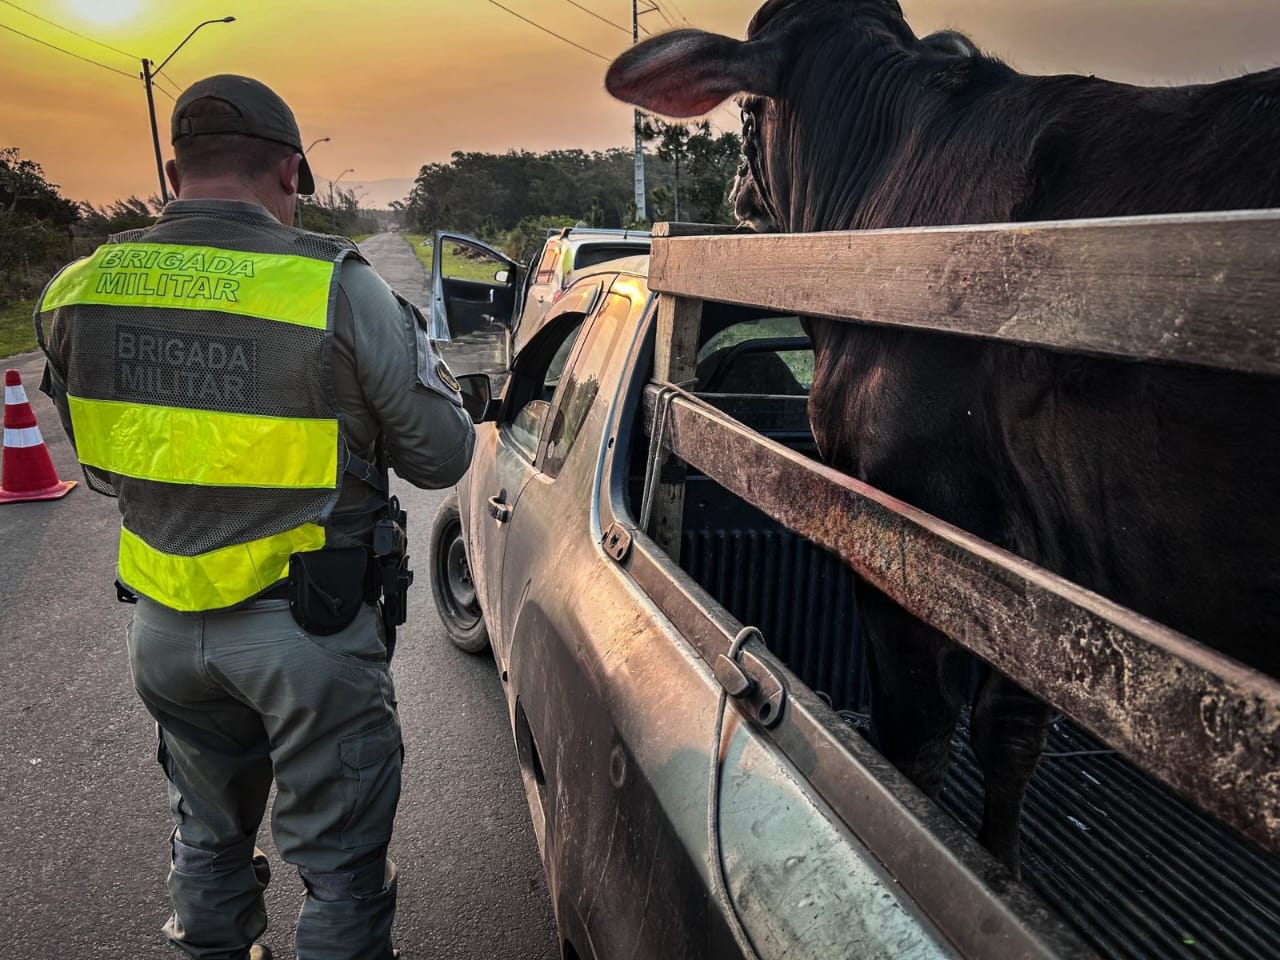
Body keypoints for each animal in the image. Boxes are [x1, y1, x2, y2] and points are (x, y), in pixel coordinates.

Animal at [604, 0, 1280, 875]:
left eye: (748, 111)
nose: (737, 191)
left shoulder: (904, 527)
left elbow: (917, 737)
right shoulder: (1050, 573)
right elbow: (1011, 733)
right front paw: (1004, 866)